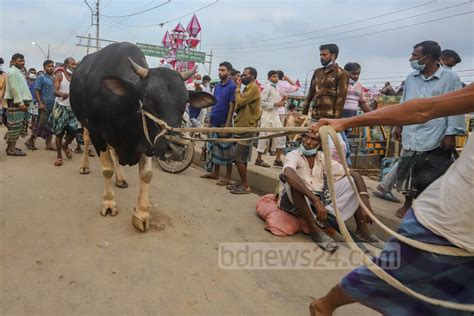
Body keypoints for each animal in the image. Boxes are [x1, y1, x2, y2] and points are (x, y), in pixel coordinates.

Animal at [70, 42, 215, 231]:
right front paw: (109, 204)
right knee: (87, 141)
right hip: (86, 125)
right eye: (148, 98)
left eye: (185, 102)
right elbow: (107, 169)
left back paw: (121, 178)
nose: (176, 149)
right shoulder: (97, 134)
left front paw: (142, 214)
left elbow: (146, 174)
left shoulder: (148, 140)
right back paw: (85, 166)